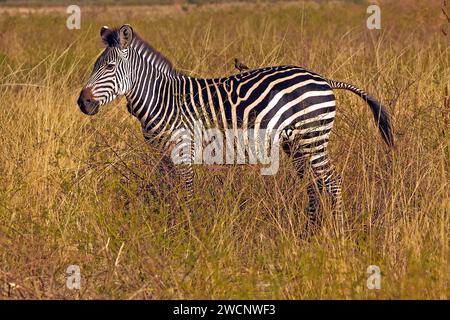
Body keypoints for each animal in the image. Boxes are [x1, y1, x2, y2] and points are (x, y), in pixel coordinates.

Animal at [77, 25, 394, 234]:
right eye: (94, 66)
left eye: (109, 67)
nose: (83, 102)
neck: (162, 99)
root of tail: (325, 79)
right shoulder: (164, 154)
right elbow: (166, 191)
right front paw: (167, 227)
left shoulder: (183, 149)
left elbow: (186, 191)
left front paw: (187, 232)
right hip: (296, 143)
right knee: (314, 185)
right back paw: (310, 232)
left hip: (313, 139)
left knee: (332, 182)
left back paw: (338, 234)